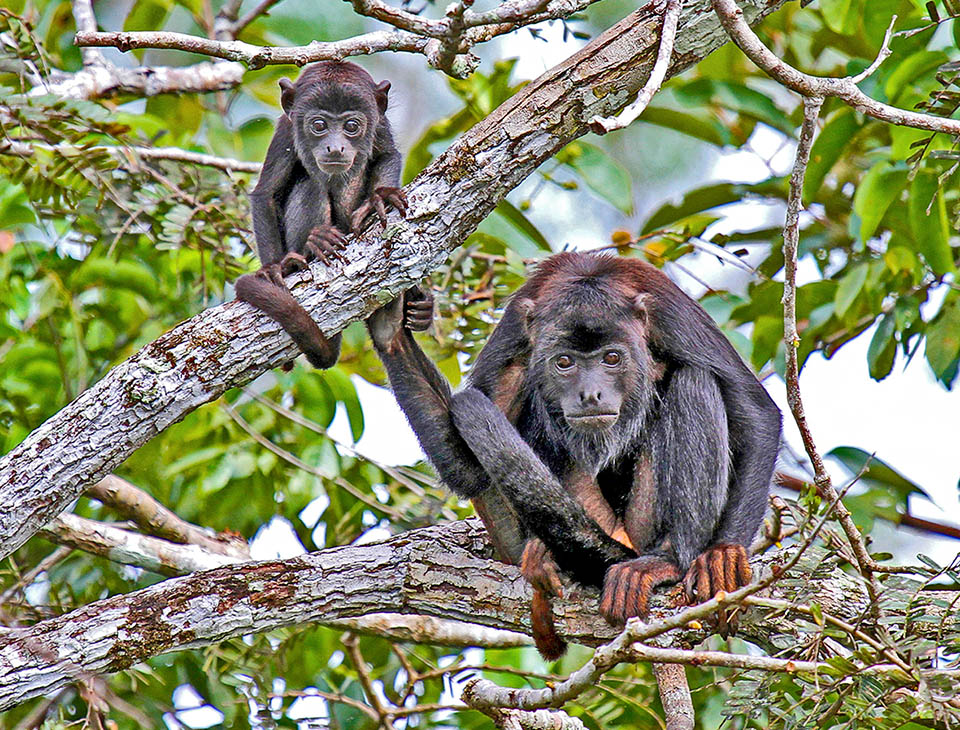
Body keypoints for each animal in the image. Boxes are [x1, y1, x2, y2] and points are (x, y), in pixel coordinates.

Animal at [238, 61, 414, 370]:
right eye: (318, 125)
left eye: (352, 126)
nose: (335, 147)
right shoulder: (285, 131)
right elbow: (266, 195)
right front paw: (273, 268)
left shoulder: (379, 123)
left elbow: (387, 156)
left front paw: (380, 197)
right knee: (310, 183)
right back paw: (312, 246)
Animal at [368, 252, 780, 656]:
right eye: (564, 362)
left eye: (611, 358)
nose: (590, 394)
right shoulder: (515, 327)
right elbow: (468, 468)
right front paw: (390, 331)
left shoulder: (671, 314)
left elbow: (757, 414)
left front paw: (723, 554)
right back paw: (541, 553)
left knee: (694, 379)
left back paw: (668, 560)